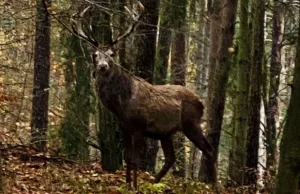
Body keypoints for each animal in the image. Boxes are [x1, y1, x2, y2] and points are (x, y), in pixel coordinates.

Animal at [70, 1, 216, 189]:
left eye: (111, 55)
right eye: (95, 55)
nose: (103, 66)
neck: (121, 104)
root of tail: (201, 103)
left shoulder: (139, 126)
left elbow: (136, 160)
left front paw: (135, 186)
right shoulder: (124, 127)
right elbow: (127, 158)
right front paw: (127, 185)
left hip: (191, 123)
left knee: (209, 150)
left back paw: (215, 186)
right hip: (166, 133)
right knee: (171, 158)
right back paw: (154, 182)